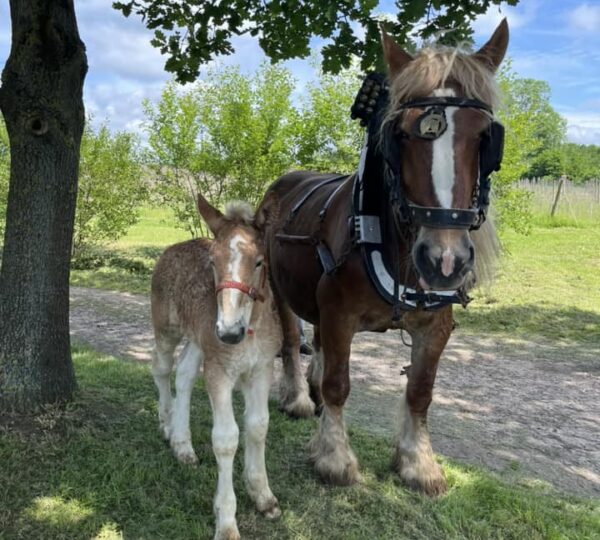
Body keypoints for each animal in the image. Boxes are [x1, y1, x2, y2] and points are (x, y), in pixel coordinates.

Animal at [262, 21, 506, 496]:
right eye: (402, 135)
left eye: (486, 138)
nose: (444, 261)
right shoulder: (339, 312)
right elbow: (339, 384)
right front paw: (335, 456)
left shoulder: (436, 325)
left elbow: (421, 391)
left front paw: (418, 462)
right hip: (280, 287)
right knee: (290, 338)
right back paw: (299, 396)